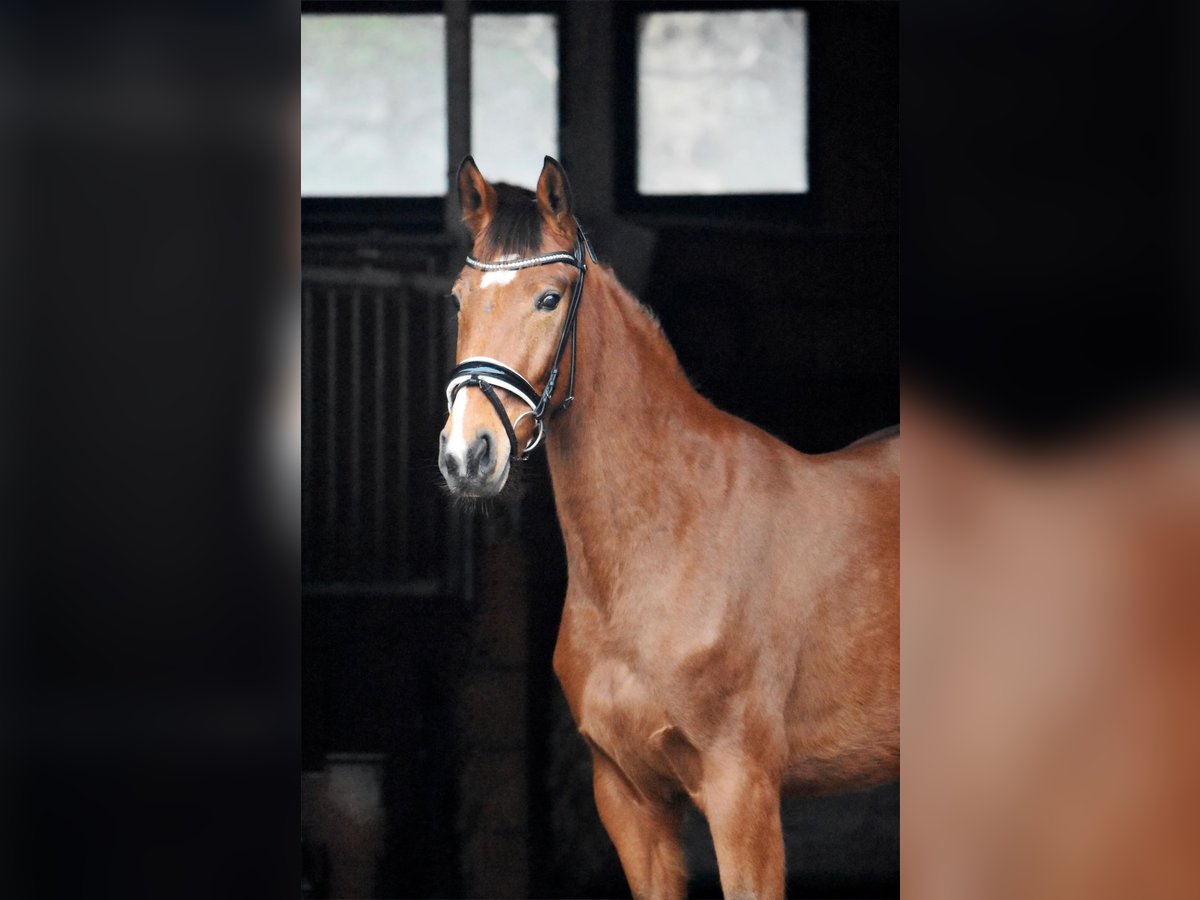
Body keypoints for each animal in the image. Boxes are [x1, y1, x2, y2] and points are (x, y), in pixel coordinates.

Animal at [436, 158, 897, 897]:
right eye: (458, 301)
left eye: (550, 299)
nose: (467, 454)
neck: (665, 542)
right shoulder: (630, 799)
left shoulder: (743, 793)